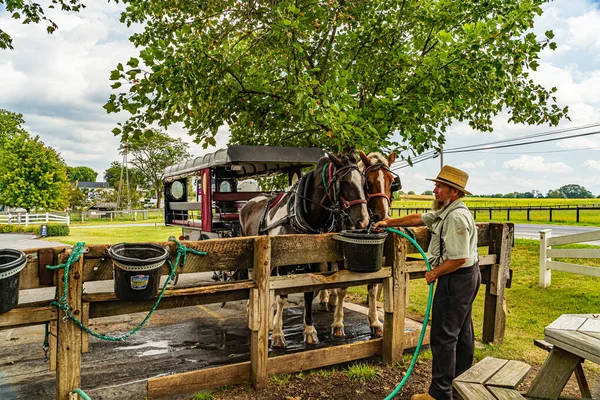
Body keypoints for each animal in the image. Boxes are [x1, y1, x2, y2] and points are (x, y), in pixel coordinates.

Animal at [240, 150, 370, 346]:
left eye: (363, 182)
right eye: (345, 181)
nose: (363, 220)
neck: (300, 216)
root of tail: (250, 202)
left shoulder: (314, 263)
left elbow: (308, 294)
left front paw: (309, 330)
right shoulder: (283, 265)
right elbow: (282, 296)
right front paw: (278, 335)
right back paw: (254, 313)